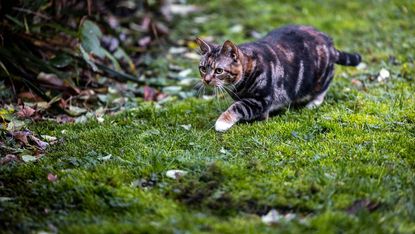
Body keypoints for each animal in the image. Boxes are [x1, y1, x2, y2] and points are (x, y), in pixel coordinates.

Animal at [197, 25, 362, 133]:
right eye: (203, 68)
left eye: (218, 70)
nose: (206, 80)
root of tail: (330, 43)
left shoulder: (261, 99)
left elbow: (238, 106)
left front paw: (222, 122)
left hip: (321, 76)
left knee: (323, 88)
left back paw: (313, 103)